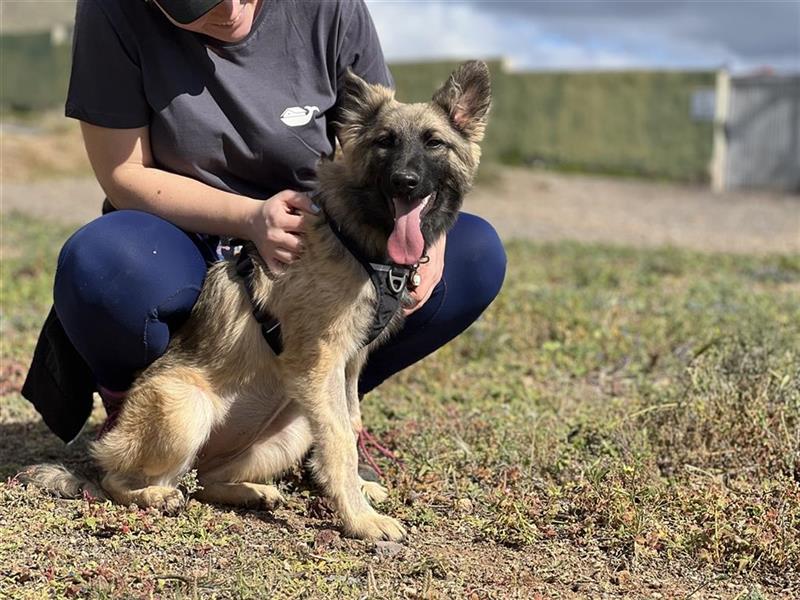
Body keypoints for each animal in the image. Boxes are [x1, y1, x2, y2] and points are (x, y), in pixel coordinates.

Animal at [21, 61, 490, 544]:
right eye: (385, 142)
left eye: (434, 142)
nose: (405, 182)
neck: (354, 234)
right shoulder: (321, 362)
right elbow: (339, 438)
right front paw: (360, 519)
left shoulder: (348, 365)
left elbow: (353, 422)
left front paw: (358, 489)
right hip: (185, 409)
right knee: (117, 480)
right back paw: (157, 495)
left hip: (291, 430)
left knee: (205, 482)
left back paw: (250, 492)